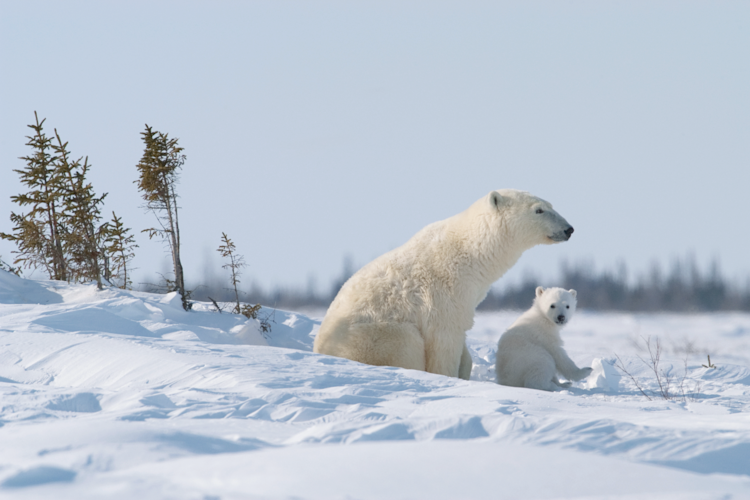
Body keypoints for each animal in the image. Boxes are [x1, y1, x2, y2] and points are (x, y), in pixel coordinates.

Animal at [313, 189, 574, 379]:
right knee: (406, 343)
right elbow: (444, 342)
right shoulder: (443, 296)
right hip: (373, 337)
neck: (470, 253)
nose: (569, 229)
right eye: (539, 210)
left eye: (551, 205)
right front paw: (448, 377)